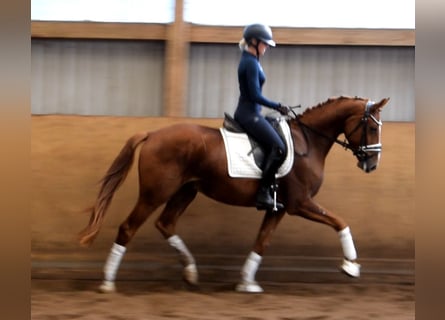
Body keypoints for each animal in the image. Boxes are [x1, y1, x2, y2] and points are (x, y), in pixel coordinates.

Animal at [78, 94, 386, 292]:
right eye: (372, 127)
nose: (371, 164)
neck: (307, 142)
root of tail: (153, 134)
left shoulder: (280, 207)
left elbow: (262, 241)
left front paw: (247, 282)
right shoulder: (300, 203)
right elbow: (340, 222)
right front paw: (351, 266)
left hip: (186, 191)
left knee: (165, 224)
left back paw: (190, 272)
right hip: (155, 193)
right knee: (128, 228)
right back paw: (108, 281)